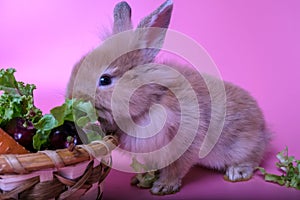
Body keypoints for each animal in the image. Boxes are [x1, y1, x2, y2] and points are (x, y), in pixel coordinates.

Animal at [66, 0, 272, 195]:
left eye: (105, 79)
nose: (72, 98)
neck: (152, 99)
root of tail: (264, 131)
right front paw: (141, 179)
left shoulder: (184, 144)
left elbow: (176, 168)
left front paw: (164, 186)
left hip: (242, 146)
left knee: (253, 159)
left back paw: (237, 172)